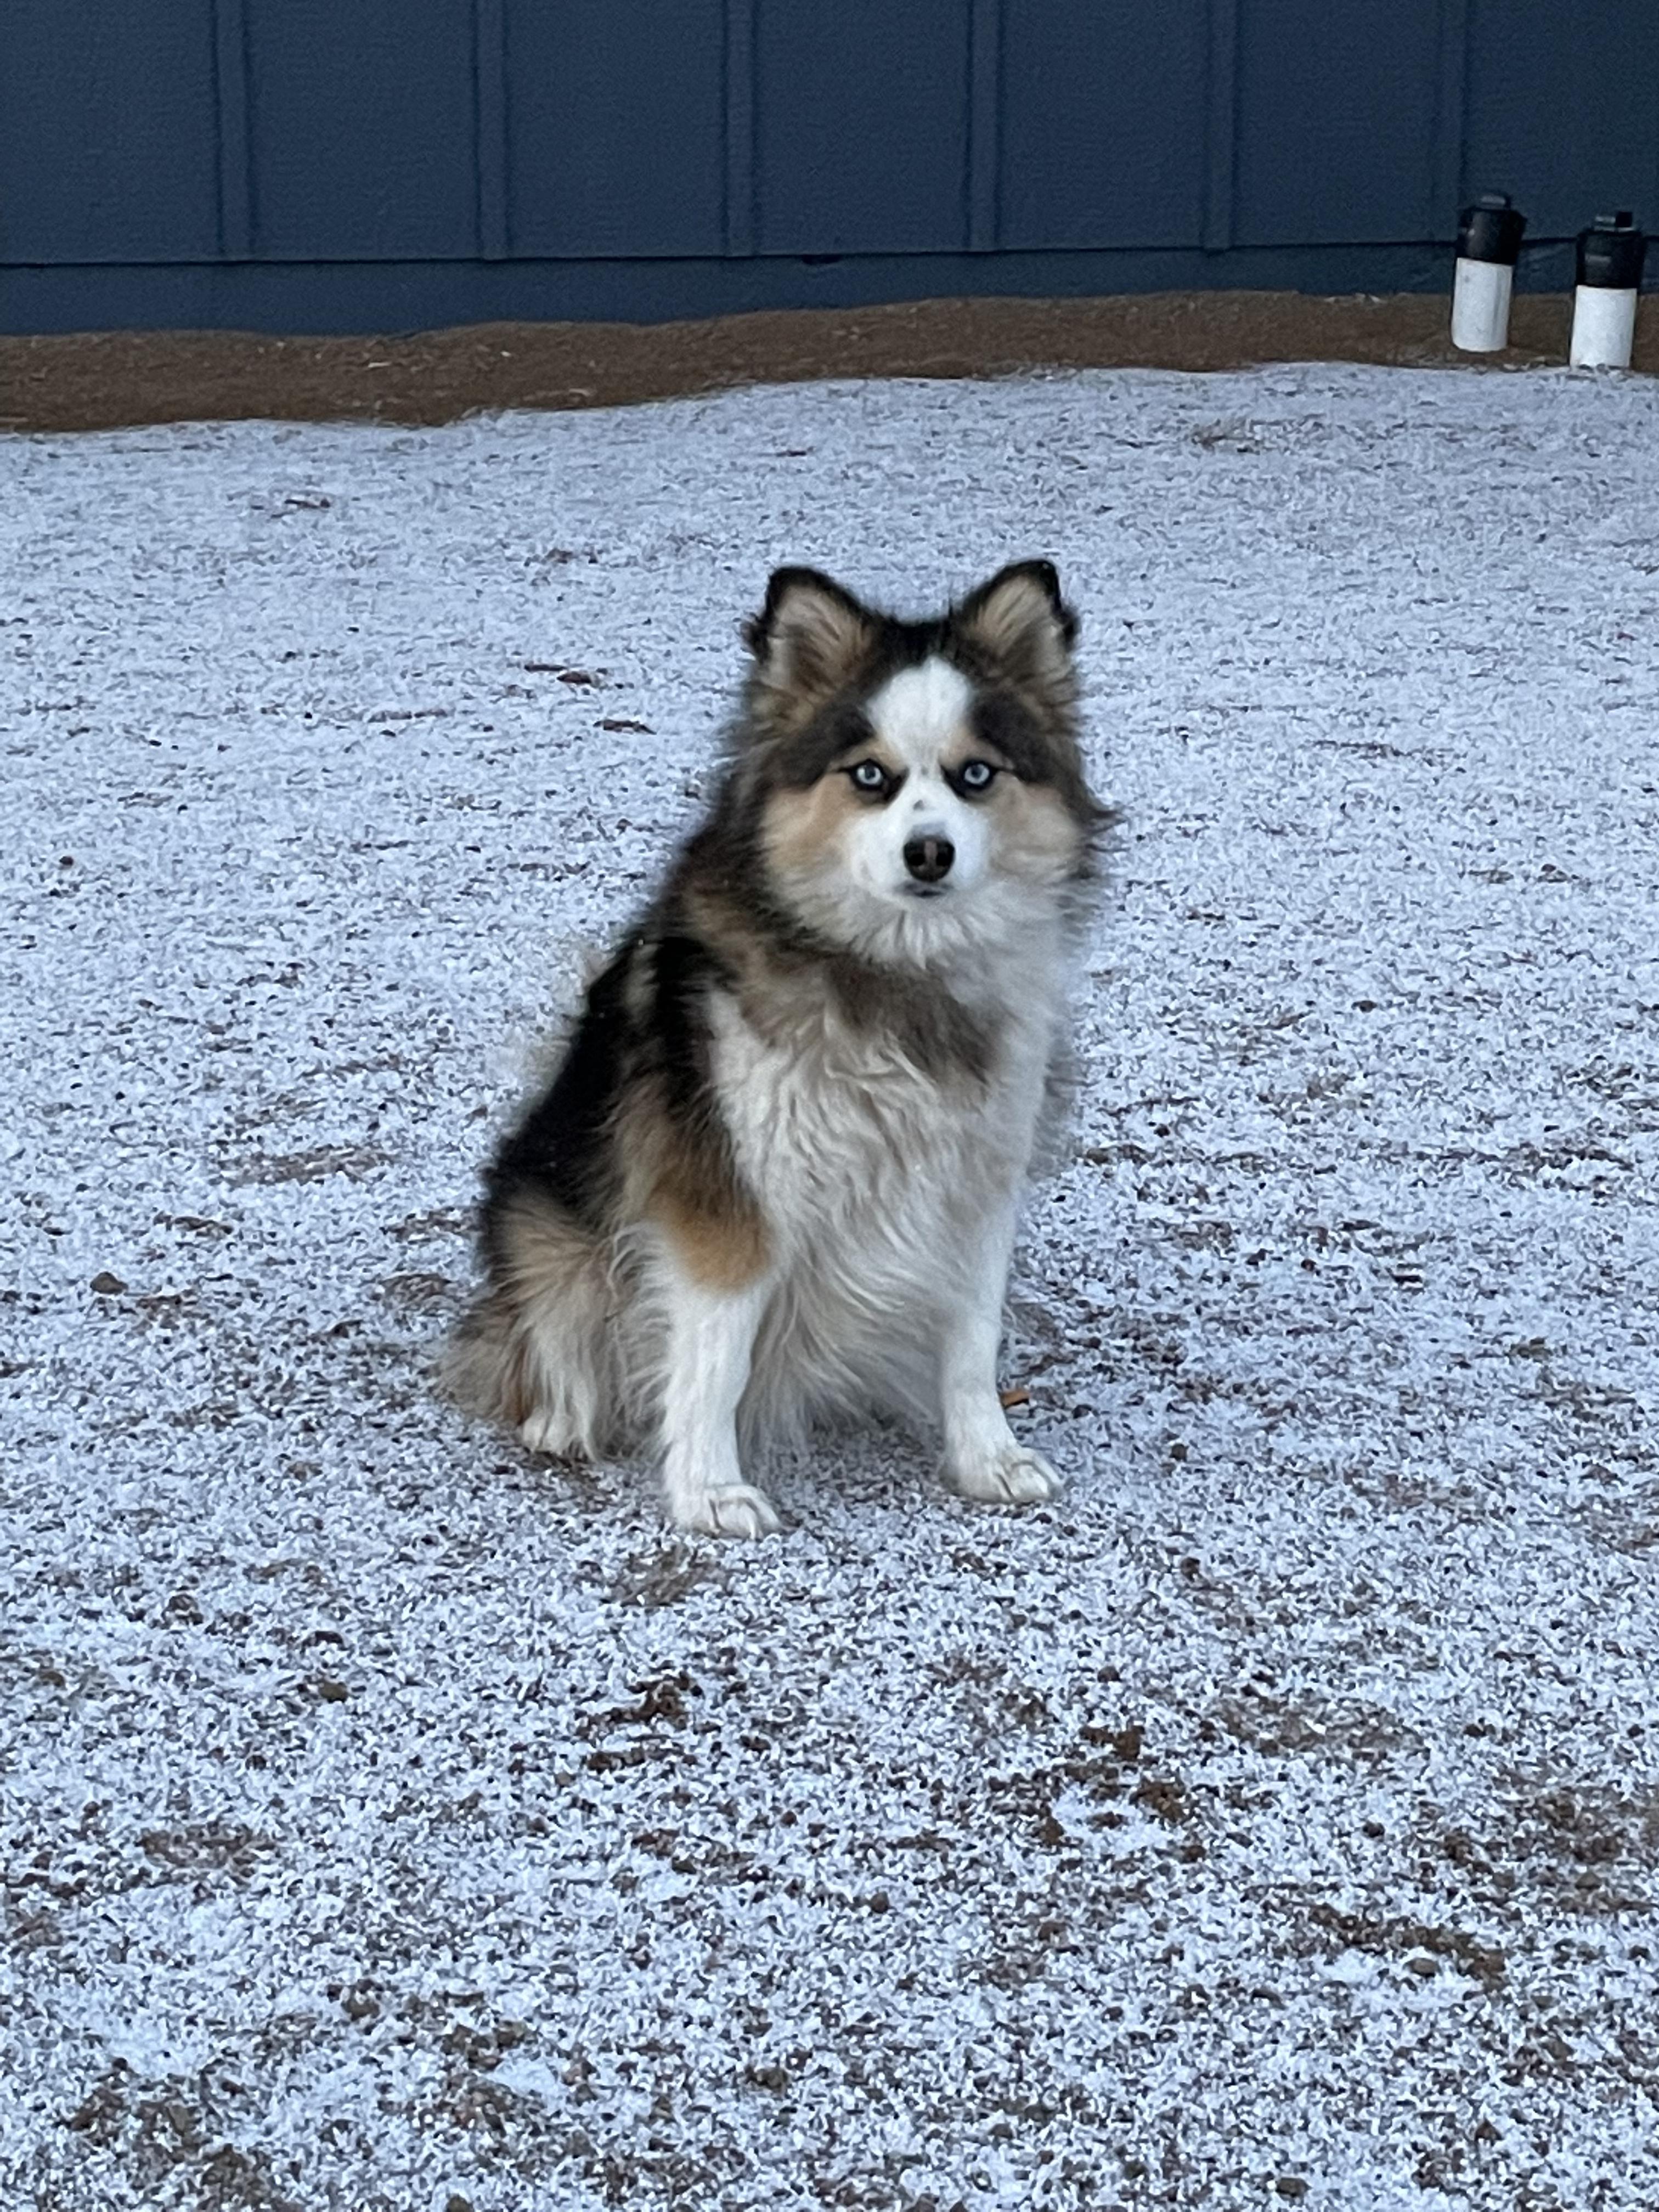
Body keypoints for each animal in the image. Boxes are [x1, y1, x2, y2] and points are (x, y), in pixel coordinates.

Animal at [448, 560, 1104, 1535]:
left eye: (976, 775)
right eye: (870, 776)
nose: (930, 852)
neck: (892, 976)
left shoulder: (979, 1184)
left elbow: (972, 1339)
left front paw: (988, 1456)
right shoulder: (728, 1196)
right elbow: (713, 1359)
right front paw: (708, 1491)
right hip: (541, 1215)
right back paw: (561, 1418)